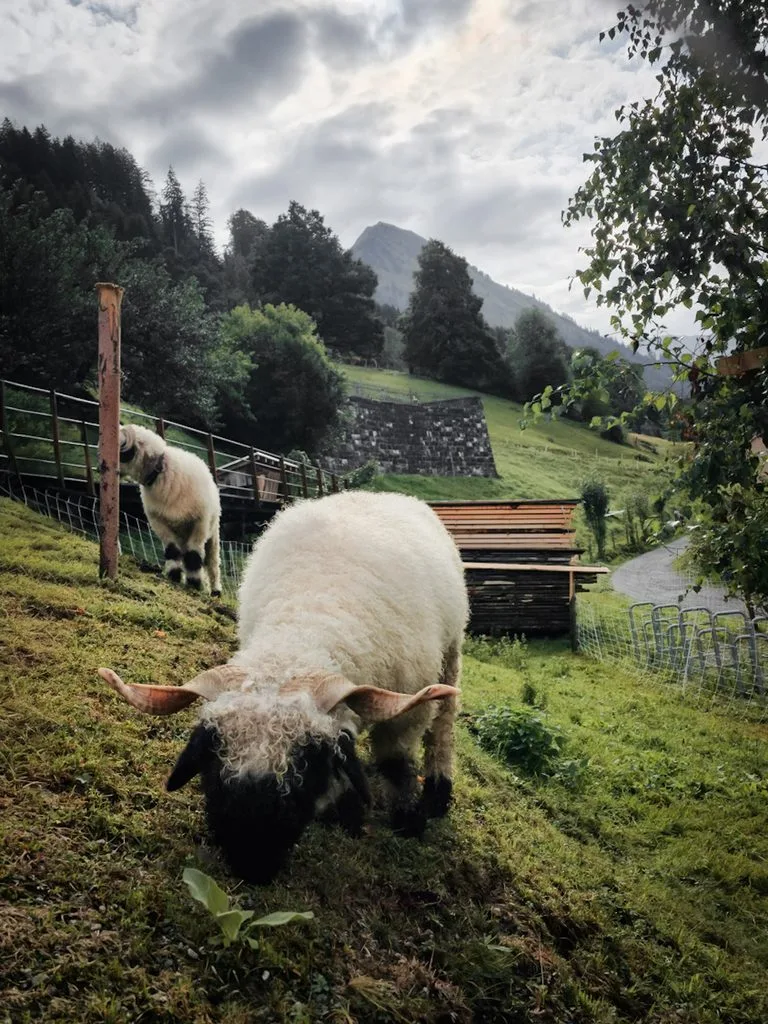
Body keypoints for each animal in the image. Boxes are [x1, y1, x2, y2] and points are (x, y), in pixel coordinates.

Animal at [97, 490, 469, 884]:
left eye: (308, 758)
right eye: (213, 755)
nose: (253, 865)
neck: (303, 625)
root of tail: (374, 493)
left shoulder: (407, 714)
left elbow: (396, 765)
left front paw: (407, 821)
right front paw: (344, 810)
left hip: (451, 653)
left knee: (443, 727)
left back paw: (438, 792)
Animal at [118, 424, 222, 596]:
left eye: (124, 449)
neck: (161, 473)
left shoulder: (199, 523)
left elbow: (194, 556)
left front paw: (194, 584)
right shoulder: (158, 522)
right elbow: (172, 551)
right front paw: (175, 576)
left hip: (212, 533)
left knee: (212, 563)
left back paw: (215, 591)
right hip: (181, 533)